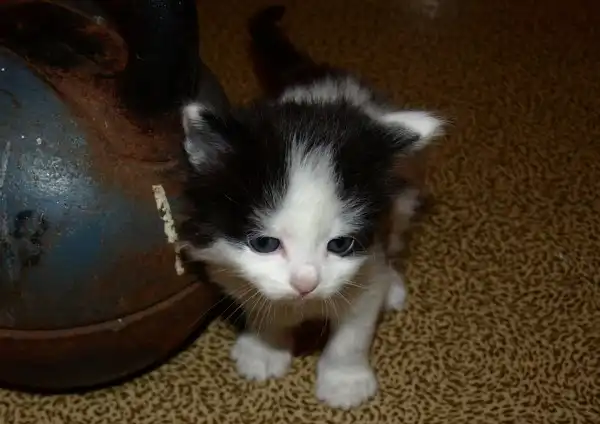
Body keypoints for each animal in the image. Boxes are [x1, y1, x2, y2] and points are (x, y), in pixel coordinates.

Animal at [177, 5, 444, 409]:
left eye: (340, 244)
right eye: (265, 244)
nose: (306, 284)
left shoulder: (365, 268)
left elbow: (353, 331)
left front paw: (345, 381)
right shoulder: (228, 265)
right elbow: (261, 304)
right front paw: (265, 349)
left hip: (402, 192)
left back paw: (394, 285)